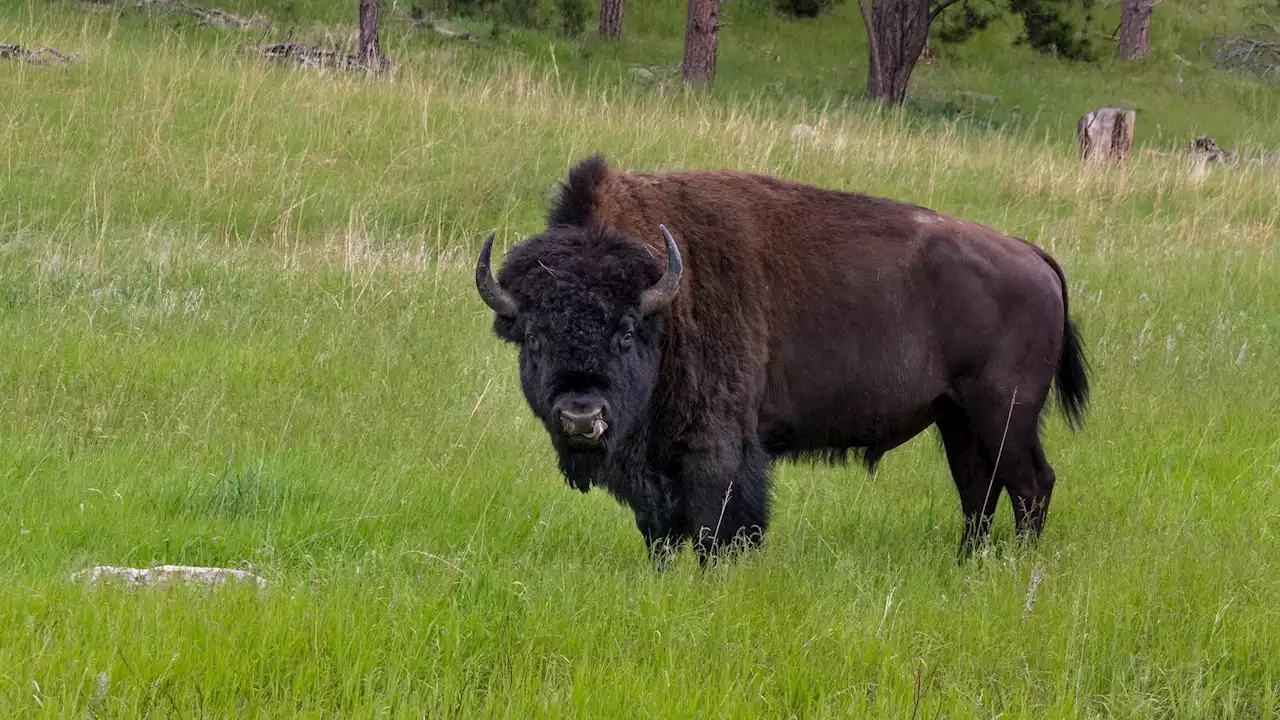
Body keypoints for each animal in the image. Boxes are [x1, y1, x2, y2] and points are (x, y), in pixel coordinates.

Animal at [473, 154, 1090, 563]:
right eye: (533, 336)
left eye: (625, 332)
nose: (581, 417)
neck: (665, 302)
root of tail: (1031, 254)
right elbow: (660, 530)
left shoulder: (717, 449)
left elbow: (719, 522)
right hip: (956, 417)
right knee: (977, 490)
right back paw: (967, 565)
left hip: (1004, 413)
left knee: (1031, 485)